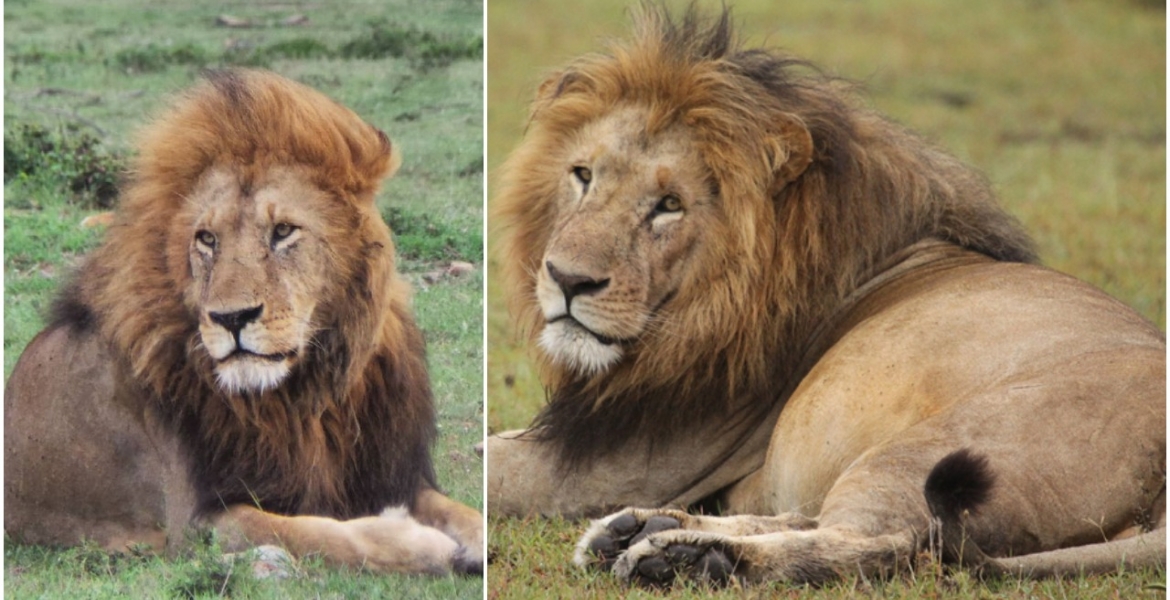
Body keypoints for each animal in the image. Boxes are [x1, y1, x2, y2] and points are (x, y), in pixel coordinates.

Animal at [5, 69, 483, 576]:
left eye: (283, 231)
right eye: (207, 239)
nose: (231, 317)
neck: (306, 398)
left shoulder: (389, 474)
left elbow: (465, 512)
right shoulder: (195, 522)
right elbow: (314, 534)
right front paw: (421, 543)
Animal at [486, 5, 1165, 587]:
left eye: (669, 205)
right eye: (582, 175)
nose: (566, 278)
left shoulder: (608, 463)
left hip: (930, 450)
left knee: (885, 543)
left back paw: (687, 558)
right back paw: (639, 532)